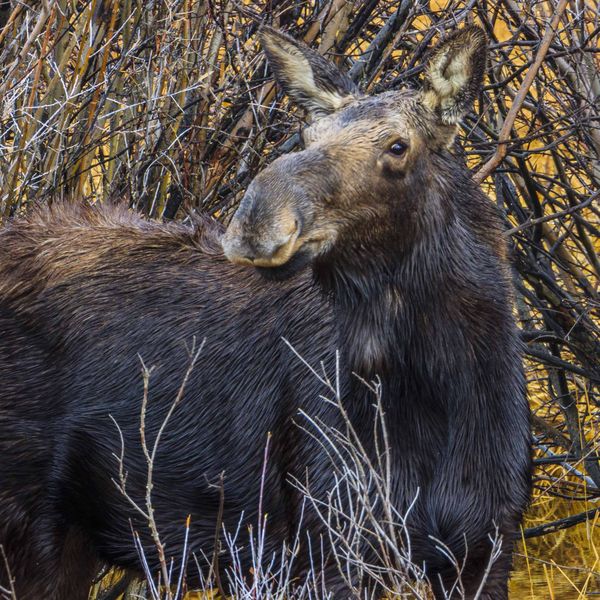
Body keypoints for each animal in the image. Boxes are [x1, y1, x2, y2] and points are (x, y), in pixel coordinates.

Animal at [2, 27, 532, 600]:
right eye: (307, 133)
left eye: (398, 145)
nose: (257, 218)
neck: (442, 391)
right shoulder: (330, 542)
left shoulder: (487, 546)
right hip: (31, 527)